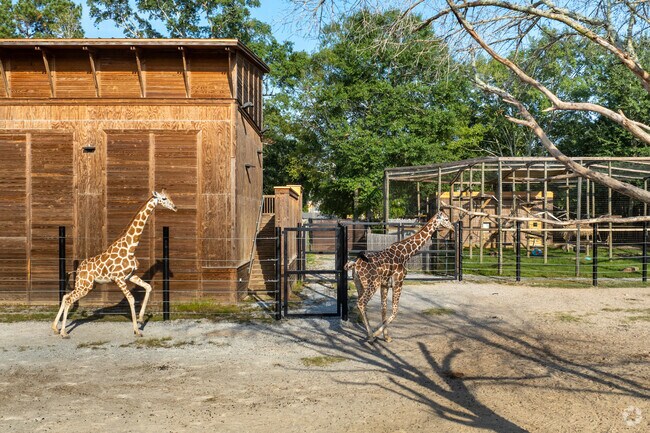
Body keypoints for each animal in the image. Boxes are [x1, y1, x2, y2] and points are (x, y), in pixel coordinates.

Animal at [51, 189, 177, 338]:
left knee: (65, 296)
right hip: (85, 286)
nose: (175, 207)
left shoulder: (130, 276)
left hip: (87, 285)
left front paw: (141, 318)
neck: (130, 248)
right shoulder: (119, 278)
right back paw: (64, 332)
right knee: (69, 299)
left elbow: (148, 287)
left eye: (169, 196)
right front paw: (137, 330)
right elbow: (131, 299)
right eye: (164, 198)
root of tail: (78, 270)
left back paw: (55, 328)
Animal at [346, 211, 454, 342]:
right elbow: (395, 310)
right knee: (361, 303)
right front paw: (378, 333)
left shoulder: (385, 285)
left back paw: (369, 333)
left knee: (361, 303)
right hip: (372, 284)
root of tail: (355, 264)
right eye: (446, 219)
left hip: (359, 284)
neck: (405, 254)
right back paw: (371, 336)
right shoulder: (398, 282)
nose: (453, 228)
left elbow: (384, 308)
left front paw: (386, 337)